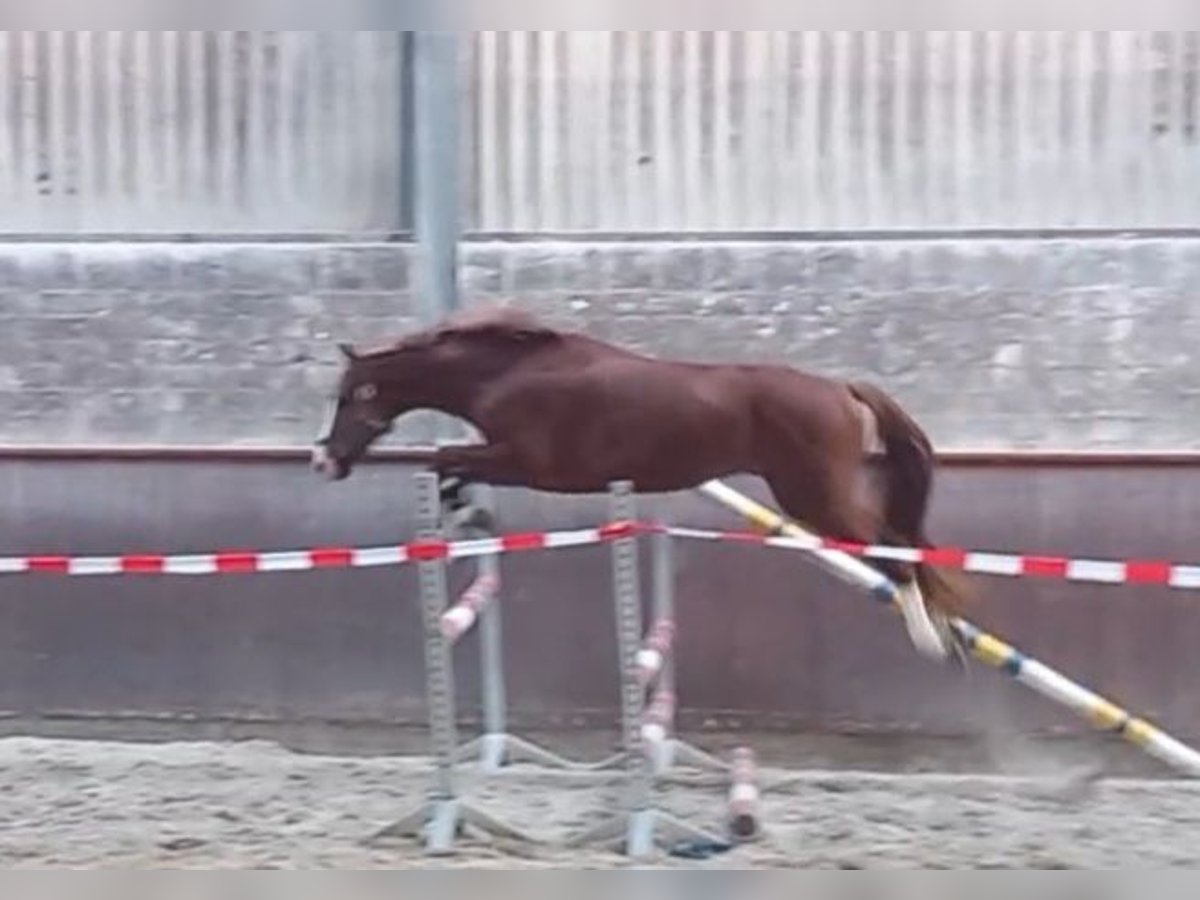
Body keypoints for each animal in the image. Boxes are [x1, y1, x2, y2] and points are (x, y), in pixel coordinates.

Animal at [314, 307, 969, 667]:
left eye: (352, 395)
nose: (325, 460)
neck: (509, 375)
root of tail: (840, 387)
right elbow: (450, 466)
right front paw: (459, 512)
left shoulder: (529, 463)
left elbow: (445, 458)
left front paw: (454, 509)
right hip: (817, 495)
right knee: (889, 547)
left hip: (814, 494)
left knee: (895, 551)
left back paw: (933, 643)